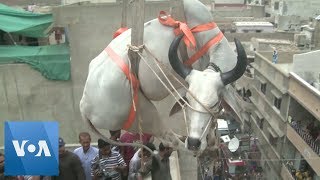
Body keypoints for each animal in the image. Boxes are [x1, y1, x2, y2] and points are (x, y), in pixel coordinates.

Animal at [80, 0, 248, 155]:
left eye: (213, 104)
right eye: (189, 101)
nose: (194, 142)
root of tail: (84, 106)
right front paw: (212, 142)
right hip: (147, 115)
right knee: (169, 139)